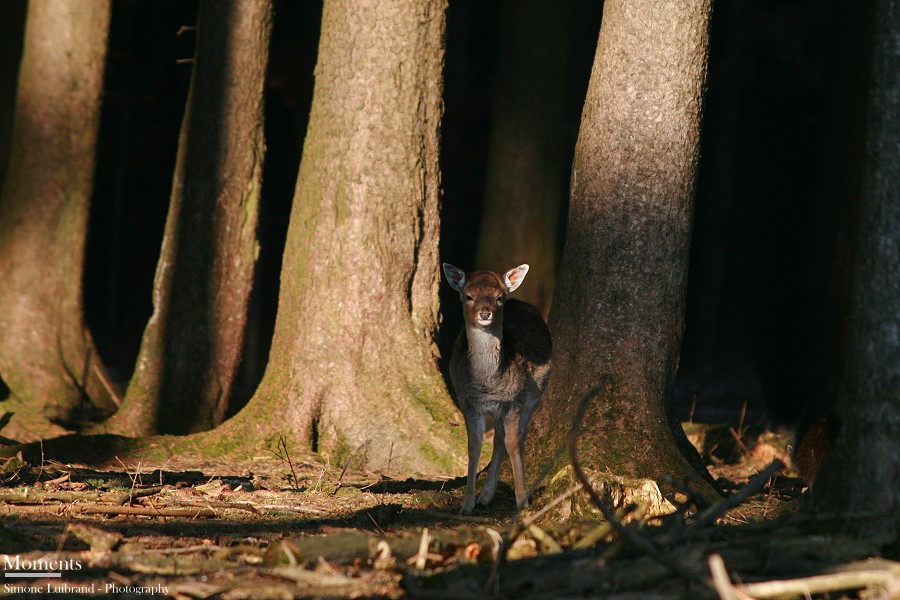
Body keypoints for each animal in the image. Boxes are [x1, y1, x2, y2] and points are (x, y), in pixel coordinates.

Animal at [442, 264, 548, 516]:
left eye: (499, 298)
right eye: (468, 296)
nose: (485, 313)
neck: (488, 386)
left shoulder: (515, 401)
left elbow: (513, 443)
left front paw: (522, 502)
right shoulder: (467, 402)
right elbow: (474, 446)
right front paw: (466, 504)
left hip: (534, 398)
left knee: (515, 436)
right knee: (499, 437)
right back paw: (485, 496)